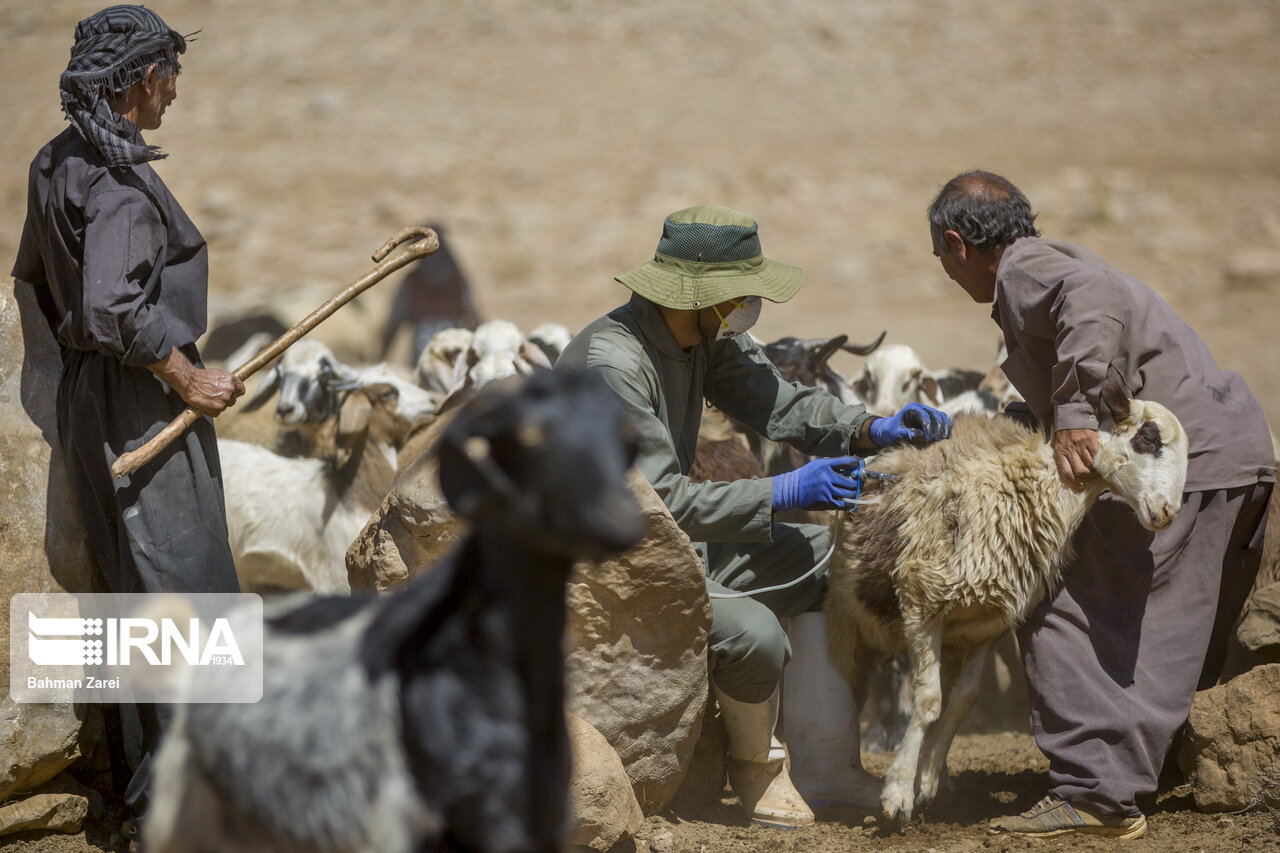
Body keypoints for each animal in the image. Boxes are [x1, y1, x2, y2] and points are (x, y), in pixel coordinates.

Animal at [824, 379, 1182, 819]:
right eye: (1149, 438)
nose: (1167, 512)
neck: (1039, 486)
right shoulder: (922, 605)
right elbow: (927, 702)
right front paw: (898, 793)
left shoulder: (986, 625)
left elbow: (961, 701)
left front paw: (927, 780)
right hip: (847, 619)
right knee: (849, 690)